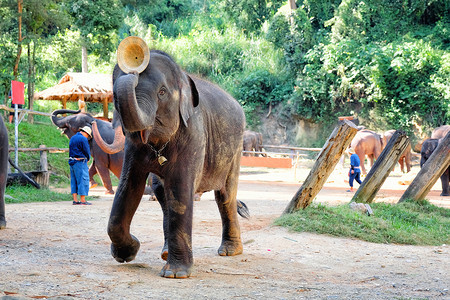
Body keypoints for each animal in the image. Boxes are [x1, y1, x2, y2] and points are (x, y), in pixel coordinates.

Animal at [99, 42, 246, 278]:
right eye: (113, 95)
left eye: (162, 92)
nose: (134, 67)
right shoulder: (133, 147)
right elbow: (128, 188)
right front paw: (127, 254)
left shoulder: (194, 133)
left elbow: (180, 188)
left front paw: (175, 274)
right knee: (162, 192)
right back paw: (166, 253)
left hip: (236, 150)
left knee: (225, 195)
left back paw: (229, 252)